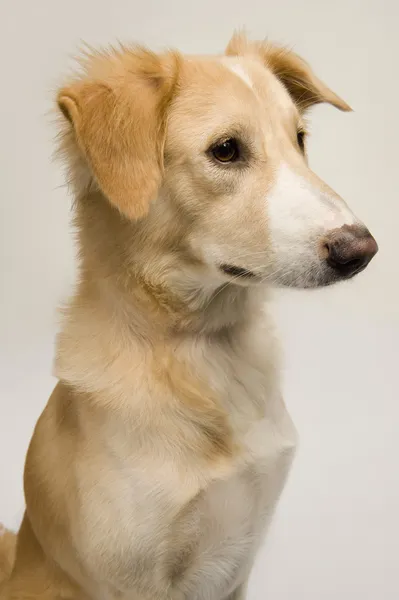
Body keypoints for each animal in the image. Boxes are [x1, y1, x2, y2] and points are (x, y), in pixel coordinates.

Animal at [0, 34, 378, 600]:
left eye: (299, 139)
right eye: (225, 150)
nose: (363, 250)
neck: (206, 348)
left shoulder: (240, 559)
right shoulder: (133, 578)